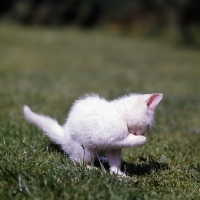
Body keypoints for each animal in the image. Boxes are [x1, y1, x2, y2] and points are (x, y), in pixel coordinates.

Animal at [23, 93, 162, 174]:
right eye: (148, 126)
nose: (144, 132)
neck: (121, 114)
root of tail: (64, 138)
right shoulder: (108, 137)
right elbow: (125, 139)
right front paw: (141, 139)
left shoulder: (113, 147)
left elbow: (115, 160)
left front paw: (118, 174)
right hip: (84, 150)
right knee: (76, 162)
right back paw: (91, 168)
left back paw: (103, 160)